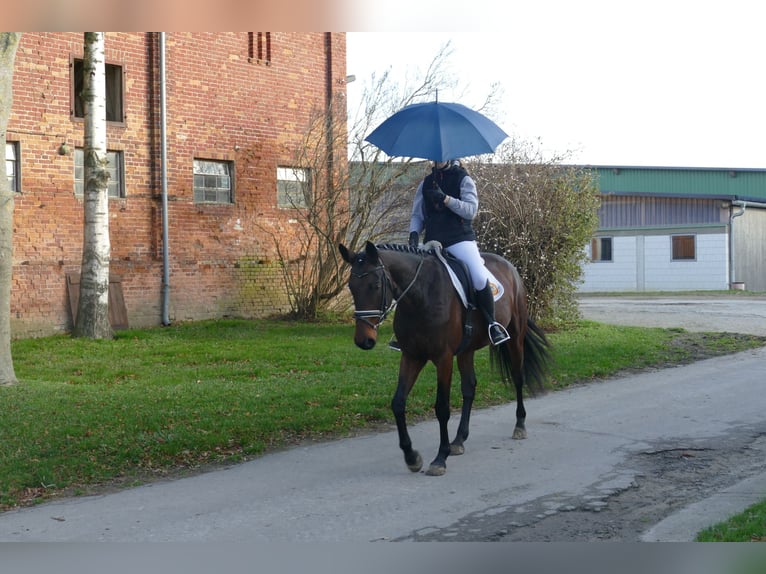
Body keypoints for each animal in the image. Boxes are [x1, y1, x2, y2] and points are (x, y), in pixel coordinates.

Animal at [338, 242, 552, 476]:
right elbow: (398, 403)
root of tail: (510, 266)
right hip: (467, 350)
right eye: (351, 287)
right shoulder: (411, 356)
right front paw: (412, 457)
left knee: (517, 377)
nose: (364, 341)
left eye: (375, 285)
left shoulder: (444, 358)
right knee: (469, 387)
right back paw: (458, 440)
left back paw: (519, 426)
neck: (420, 295)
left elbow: (442, 408)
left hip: (515, 336)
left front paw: (440, 458)